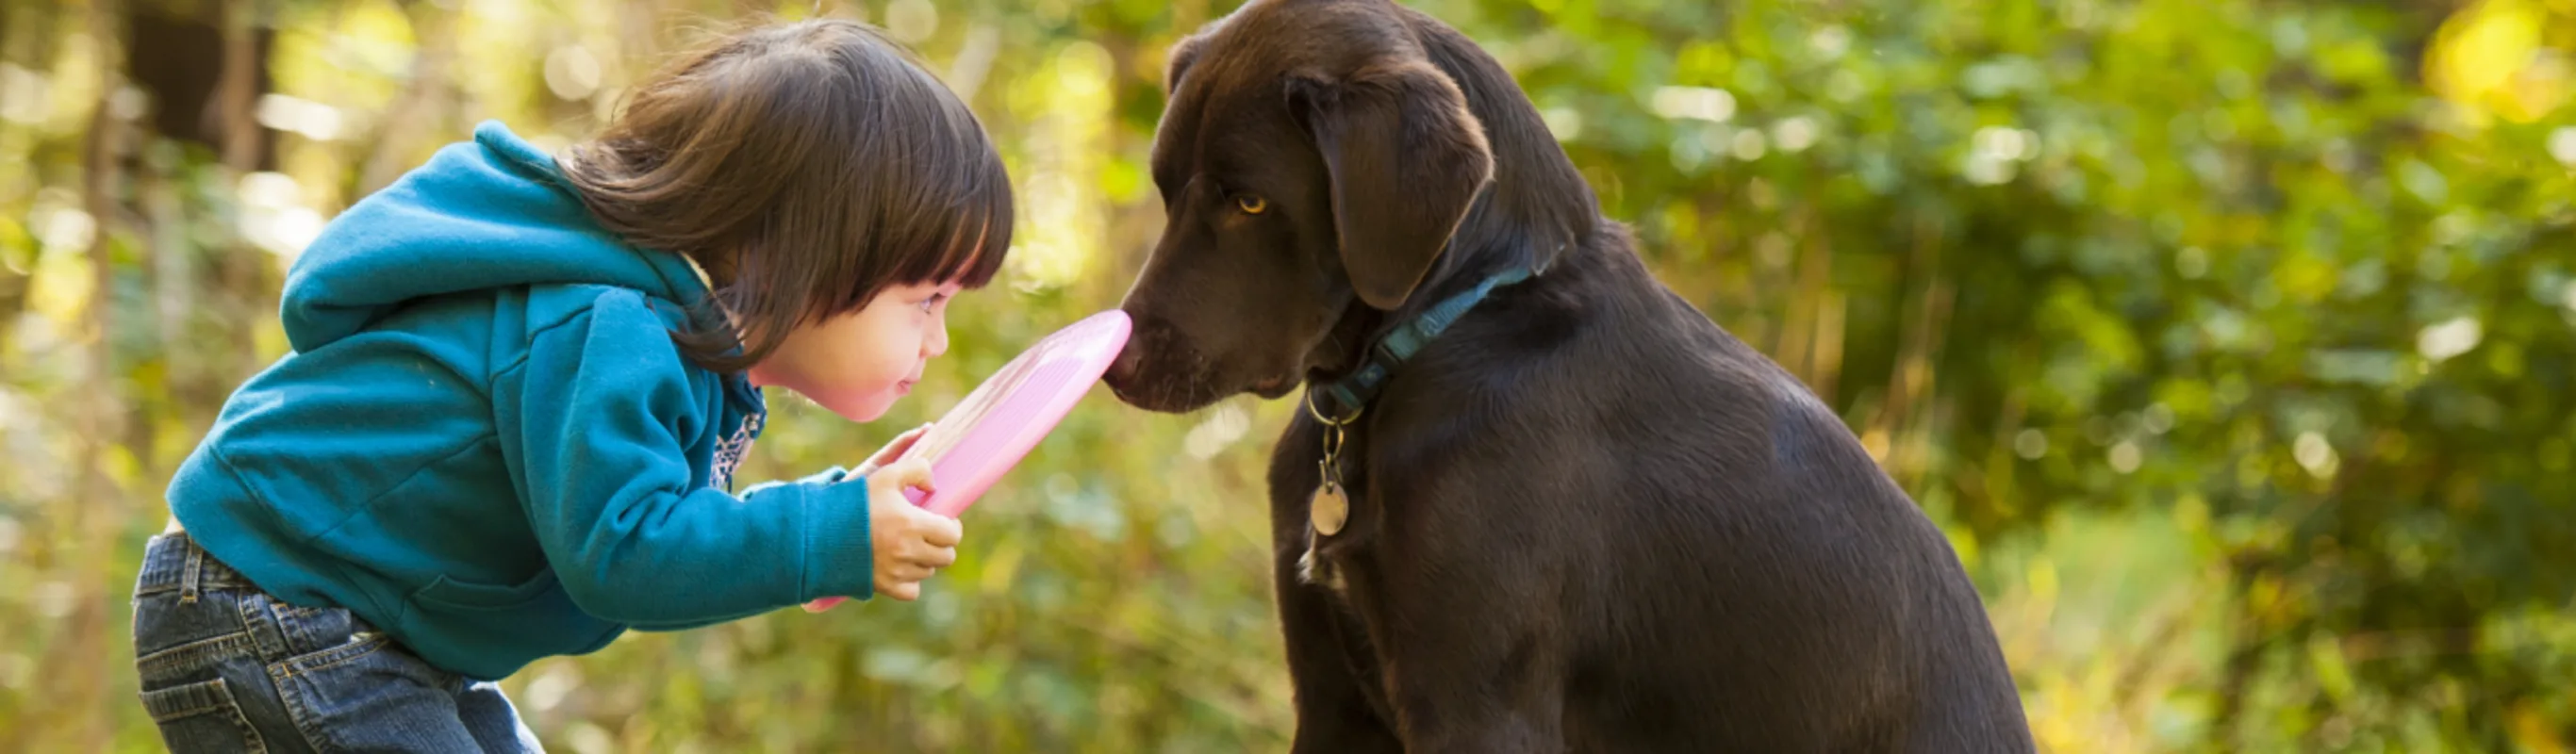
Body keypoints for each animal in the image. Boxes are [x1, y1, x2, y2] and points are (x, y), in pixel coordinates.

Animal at [1097, 0, 2039, 746]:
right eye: (1168, 189)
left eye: (1250, 201)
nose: (1117, 369)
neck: (1447, 333)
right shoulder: (1333, 699)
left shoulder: (1479, 710)